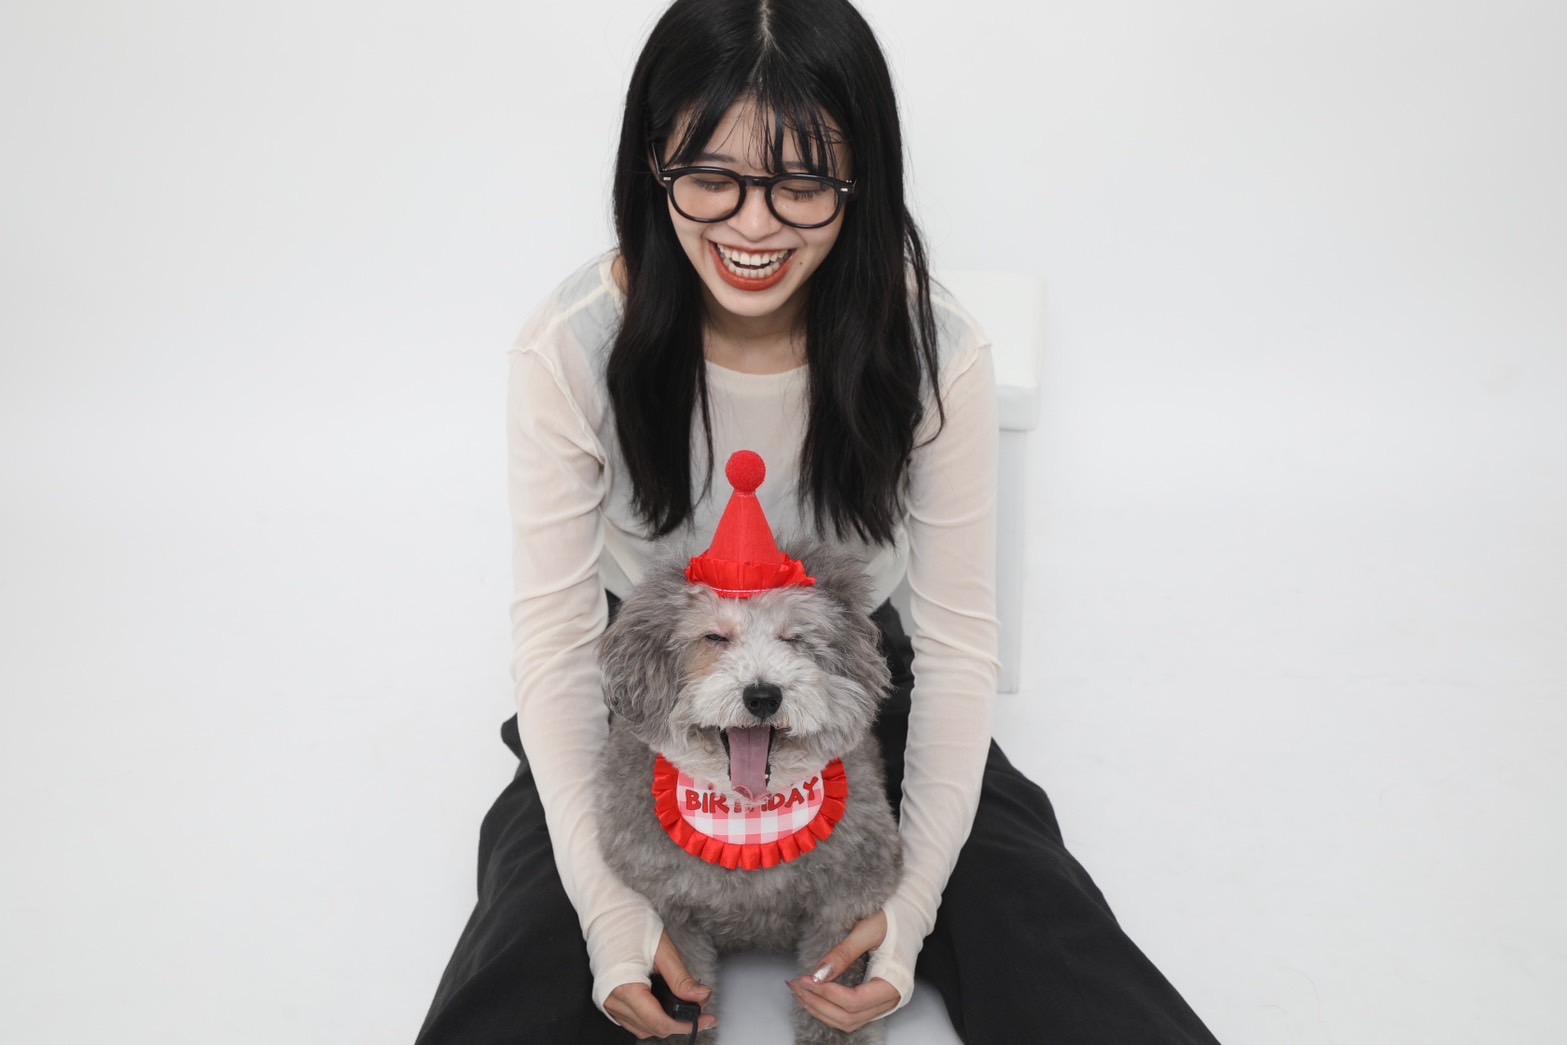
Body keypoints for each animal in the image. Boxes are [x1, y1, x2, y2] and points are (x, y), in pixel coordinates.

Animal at [596, 542, 902, 1045]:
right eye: (714, 637)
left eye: (793, 638)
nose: (763, 695)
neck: (745, 815)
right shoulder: (671, 907)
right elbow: (687, 987)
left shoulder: (847, 895)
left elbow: (831, 976)